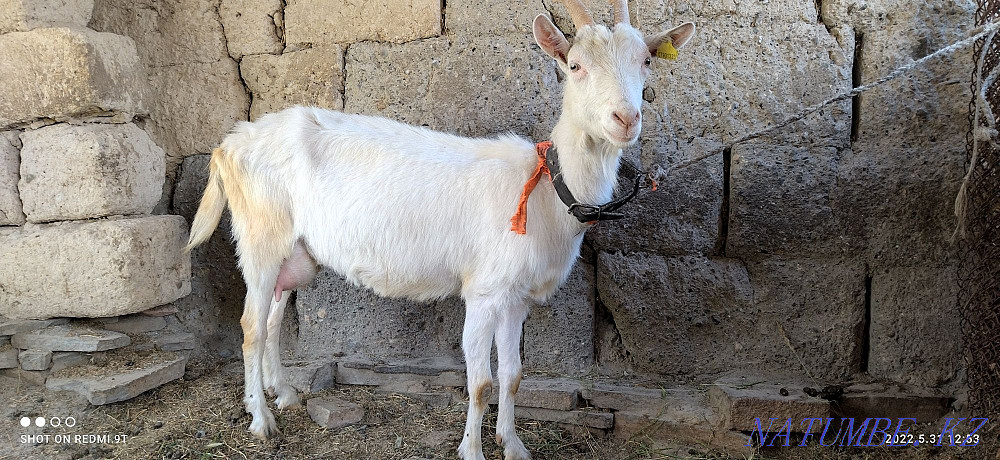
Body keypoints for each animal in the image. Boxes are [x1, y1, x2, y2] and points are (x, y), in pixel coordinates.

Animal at [184, 1, 695, 458]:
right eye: (574, 65)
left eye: (646, 61)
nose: (625, 119)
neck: (549, 187)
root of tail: (229, 144)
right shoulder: (485, 291)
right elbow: (481, 381)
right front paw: (472, 451)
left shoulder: (516, 297)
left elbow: (513, 376)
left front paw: (514, 446)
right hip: (261, 236)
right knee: (251, 327)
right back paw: (261, 420)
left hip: (297, 253)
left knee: (271, 319)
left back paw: (284, 394)